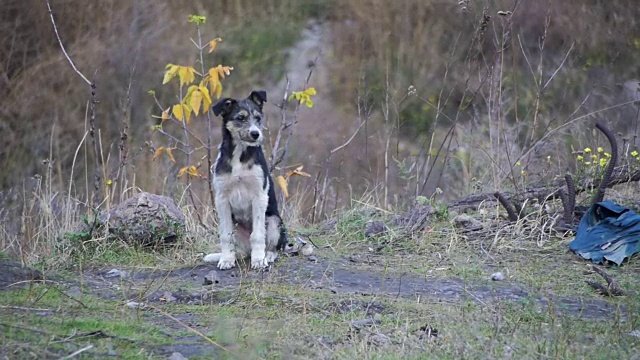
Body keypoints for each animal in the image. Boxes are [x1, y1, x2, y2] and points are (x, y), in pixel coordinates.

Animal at [204, 90, 286, 270]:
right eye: (240, 118)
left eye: (258, 118)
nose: (256, 134)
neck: (240, 155)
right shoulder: (222, 199)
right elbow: (225, 235)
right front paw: (226, 260)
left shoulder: (259, 196)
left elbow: (258, 235)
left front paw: (259, 260)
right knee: (240, 250)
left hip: (274, 220)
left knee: (274, 246)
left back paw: (267, 255)